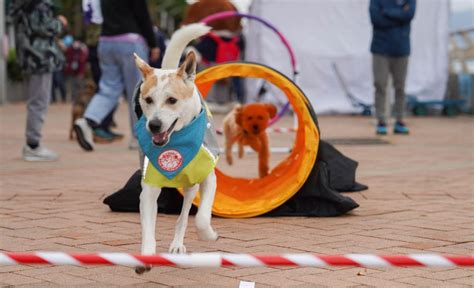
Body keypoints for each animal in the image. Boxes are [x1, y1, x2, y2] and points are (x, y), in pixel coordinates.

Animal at [133, 23, 218, 274]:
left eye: (172, 100)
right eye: (147, 100)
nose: (154, 125)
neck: (175, 142)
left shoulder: (208, 178)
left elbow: (201, 218)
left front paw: (209, 234)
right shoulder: (149, 188)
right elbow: (148, 227)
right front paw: (145, 256)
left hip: (191, 187)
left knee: (184, 216)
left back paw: (178, 244)